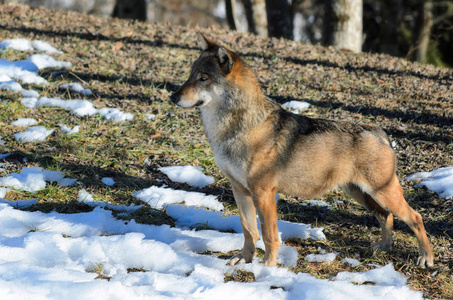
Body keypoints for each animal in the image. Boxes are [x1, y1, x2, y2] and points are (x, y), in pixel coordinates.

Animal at [170, 34, 434, 268]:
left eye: (203, 78)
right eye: (190, 75)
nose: (173, 96)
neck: (236, 128)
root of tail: (380, 131)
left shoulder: (263, 193)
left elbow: (268, 236)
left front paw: (267, 267)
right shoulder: (240, 190)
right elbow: (248, 230)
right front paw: (244, 260)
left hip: (382, 193)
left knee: (415, 218)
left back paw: (425, 259)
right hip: (359, 194)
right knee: (385, 216)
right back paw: (384, 248)